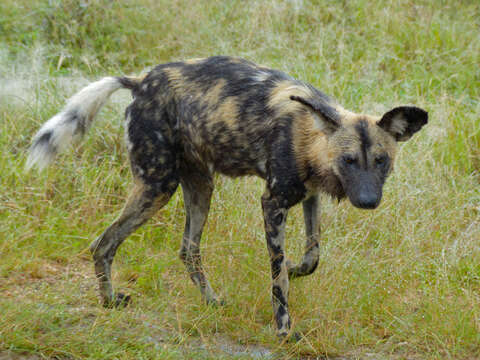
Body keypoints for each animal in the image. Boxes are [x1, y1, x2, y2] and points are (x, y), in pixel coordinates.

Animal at [27, 55, 428, 338]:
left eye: (381, 161)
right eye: (348, 160)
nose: (367, 201)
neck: (309, 137)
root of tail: (140, 81)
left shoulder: (309, 198)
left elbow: (312, 255)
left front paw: (296, 268)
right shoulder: (273, 204)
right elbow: (278, 278)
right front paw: (285, 329)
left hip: (200, 186)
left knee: (187, 249)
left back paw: (211, 301)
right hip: (158, 186)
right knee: (104, 243)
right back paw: (110, 301)